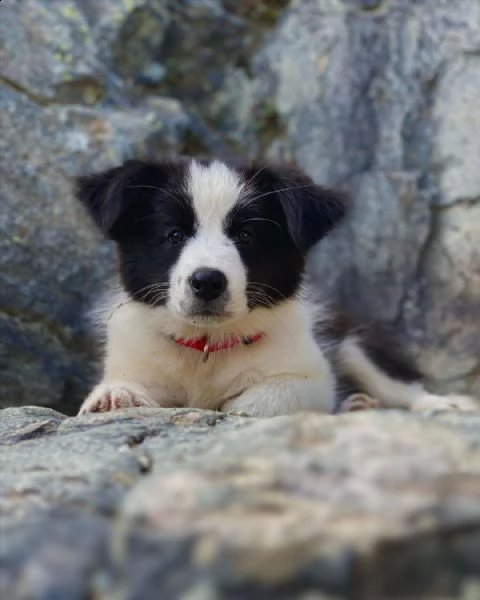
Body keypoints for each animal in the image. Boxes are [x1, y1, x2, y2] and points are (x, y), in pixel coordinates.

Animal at [74, 157, 476, 414]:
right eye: (174, 235)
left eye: (247, 236)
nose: (207, 282)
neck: (207, 347)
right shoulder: (136, 361)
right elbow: (126, 384)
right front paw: (113, 395)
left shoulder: (311, 375)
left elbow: (274, 395)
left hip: (355, 342)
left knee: (402, 385)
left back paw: (437, 403)